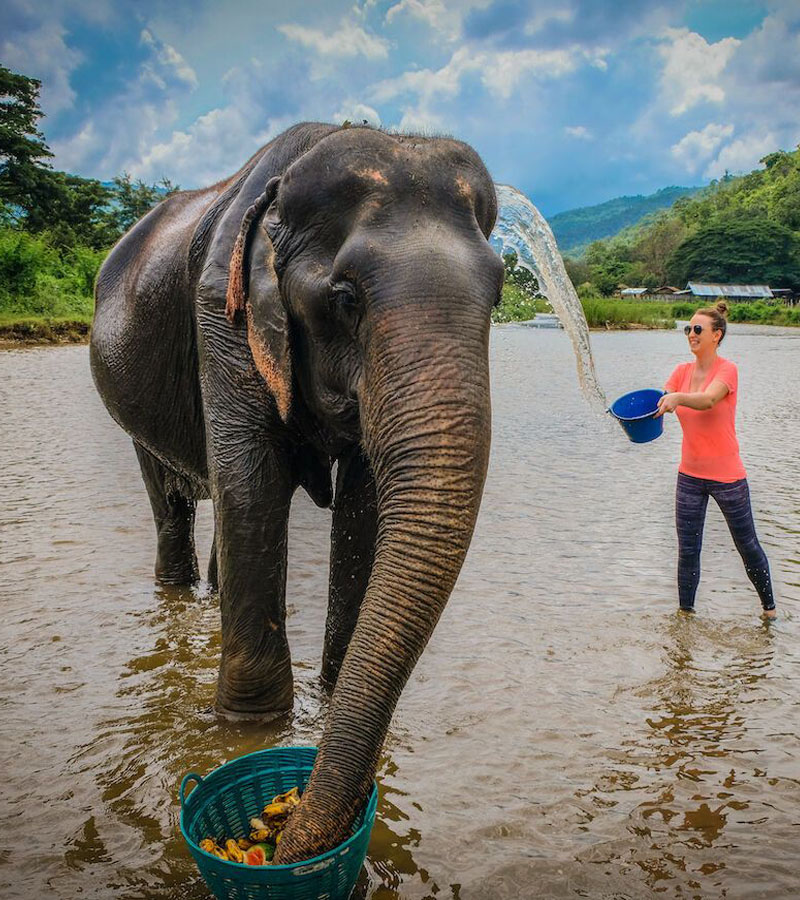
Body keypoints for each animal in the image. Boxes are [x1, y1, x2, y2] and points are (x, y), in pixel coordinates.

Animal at [90, 122, 503, 863]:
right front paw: (250, 729)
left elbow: (365, 507)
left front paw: (330, 695)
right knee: (172, 501)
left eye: (501, 296)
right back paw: (176, 585)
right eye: (346, 299)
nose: (288, 844)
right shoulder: (221, 317)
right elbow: (255, 485)